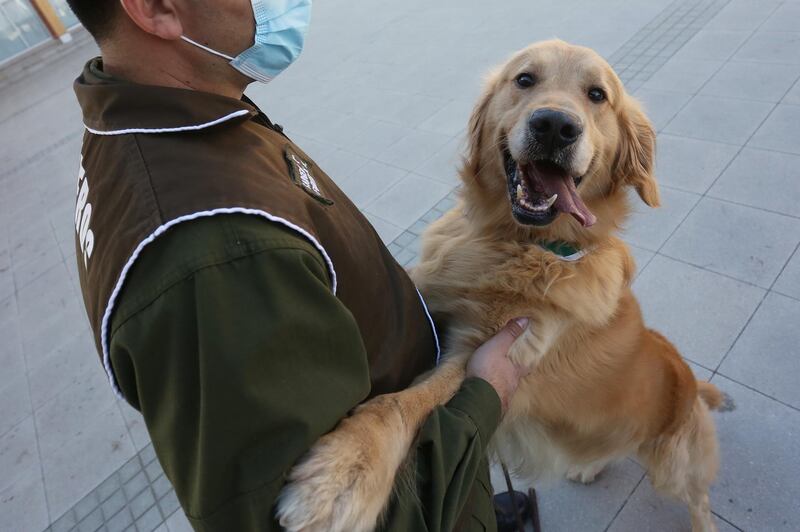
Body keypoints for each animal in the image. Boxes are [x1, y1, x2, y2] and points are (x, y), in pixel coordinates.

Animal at [276, 40, 724, 532]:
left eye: (597, 95)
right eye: (525, 79)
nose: (555, 125)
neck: (514, 243)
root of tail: (692, 386)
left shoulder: (486, 351)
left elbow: (405, 403)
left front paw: (345, 471)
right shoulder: (429, 290)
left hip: (673, 464)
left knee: (698, 497)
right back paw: (588, 466)